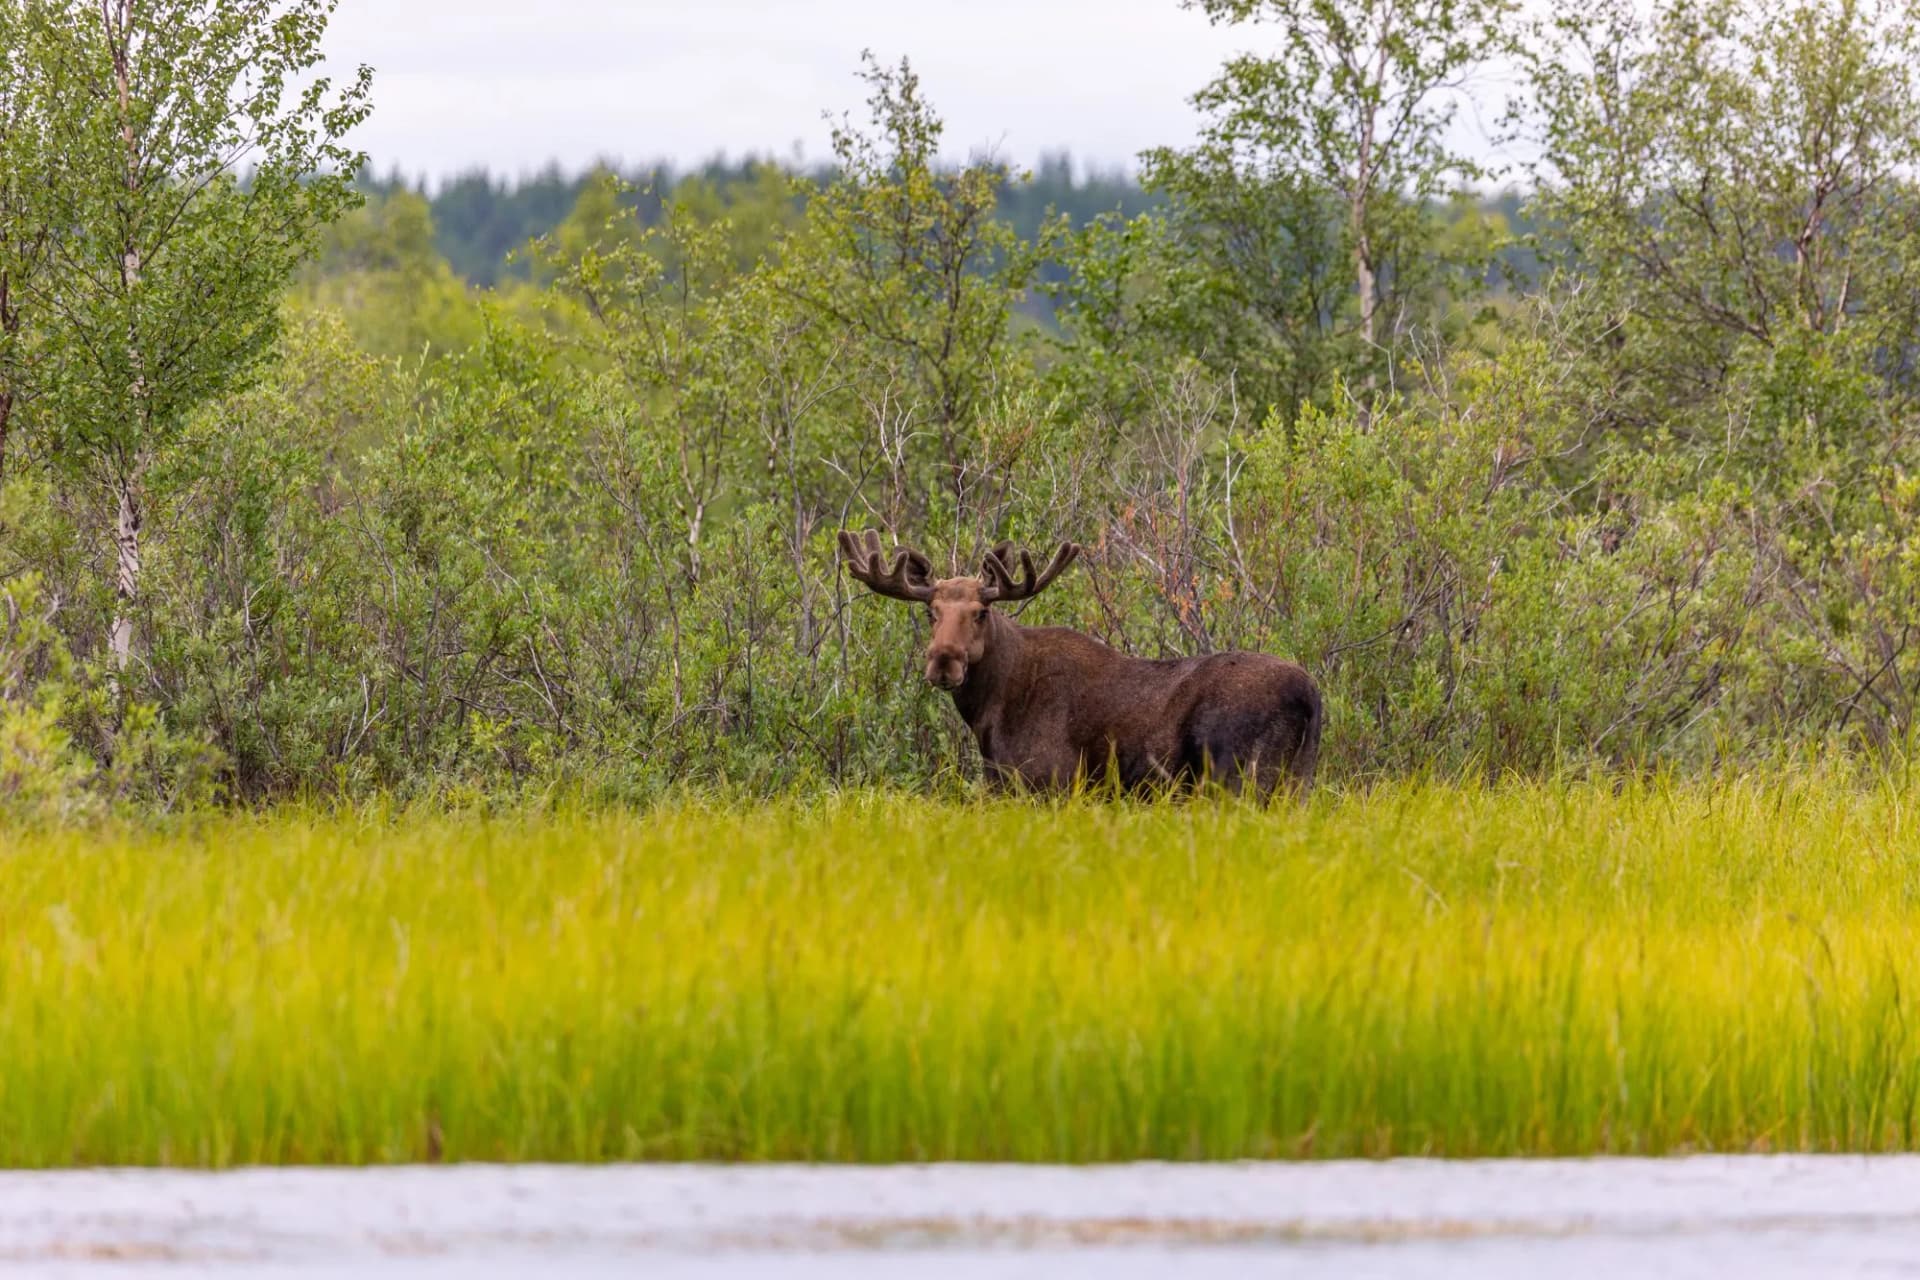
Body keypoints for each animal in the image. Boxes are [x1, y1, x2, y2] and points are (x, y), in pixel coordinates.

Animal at [838, 530, 1322, 796]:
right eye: (930, 612)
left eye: (981, 612)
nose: (944, 663)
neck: (989, 712)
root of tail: (1312, 697)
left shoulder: (1049, 781)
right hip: (1295, 783)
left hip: (1241, 776)